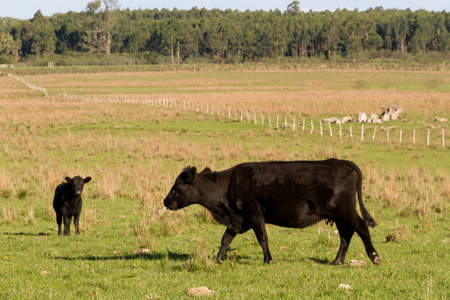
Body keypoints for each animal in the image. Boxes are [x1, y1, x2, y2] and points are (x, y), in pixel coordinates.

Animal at [163, 159, 382, 264]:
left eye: (176, 187)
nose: (165, 201)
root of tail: (339, 162)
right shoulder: (238, 219)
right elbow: (225, 239)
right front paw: (218, 259)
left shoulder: (254, 215)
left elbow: (262, 238)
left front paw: (268, 259)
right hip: (338, 216)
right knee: (346, 235)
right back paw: (337, 261)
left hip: (345, 211)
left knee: (361, 227)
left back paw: (374, 257)